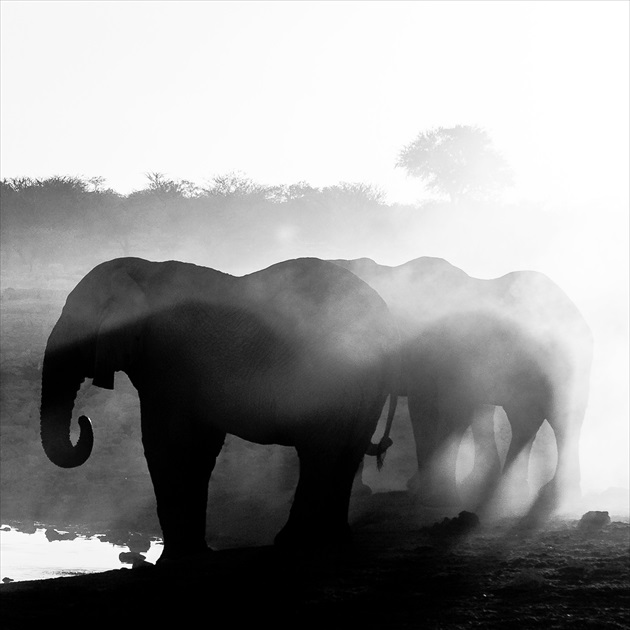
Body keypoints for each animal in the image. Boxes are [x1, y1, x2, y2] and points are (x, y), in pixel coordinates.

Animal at [40, 256, 400, 564]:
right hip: (369, 383)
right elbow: (199, 448)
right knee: (348, 450)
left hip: (329, 375)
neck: (142, 270)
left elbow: (167, 444)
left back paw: (291, 542)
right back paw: (334, 539)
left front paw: (172, 560)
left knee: (319, 452)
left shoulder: (169, 360)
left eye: (76, 321)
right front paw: (194, 553)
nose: (84, 421)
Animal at [334, 258, 596, 520]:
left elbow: (439, 412)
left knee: (558, 418)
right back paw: (518, 492)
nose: (384, 445)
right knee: (535, 420)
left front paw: (433, 499)